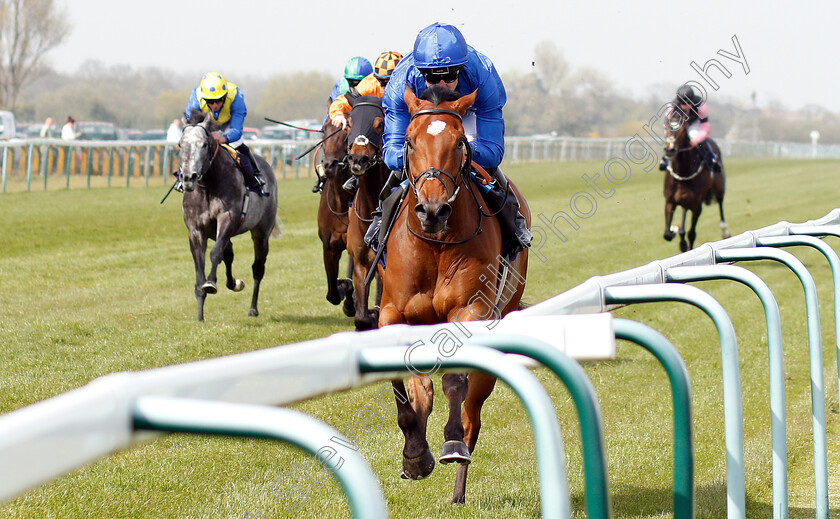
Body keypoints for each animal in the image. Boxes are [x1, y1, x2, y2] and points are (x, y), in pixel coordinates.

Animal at [180, 109, 278, 320]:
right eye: (180, 144)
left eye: (204, 144)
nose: (189, 177)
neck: (208, 185)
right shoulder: (196, 230)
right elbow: (200, 264)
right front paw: (200, 316)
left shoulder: (227, 218)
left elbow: (215, 253)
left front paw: (210, 283)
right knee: (229, 253)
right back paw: (233, 283)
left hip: (261, 231)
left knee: (258, 268)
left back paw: (253, 308)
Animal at [380, 87, 532, 506]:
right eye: (410, 141)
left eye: (459, 142)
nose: (432, 210)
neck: (435, 245)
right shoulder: (391, 313)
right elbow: (405, 392)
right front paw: (415, 455)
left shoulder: (470, 311)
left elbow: (454, 384)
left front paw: (447, 445)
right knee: (424, 393)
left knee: (471, 417)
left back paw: (459, 486)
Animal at [664, 115, 728, 252]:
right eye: (666, 127)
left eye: (683, 130)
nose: (669, 149)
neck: (683, 173)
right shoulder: (670, 202)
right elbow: (667, 234)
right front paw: (674, 231)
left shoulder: (696, 206)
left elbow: (691, 233)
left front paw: (685, 245)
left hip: (719, 186)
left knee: (720, 203)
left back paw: (725, 230)